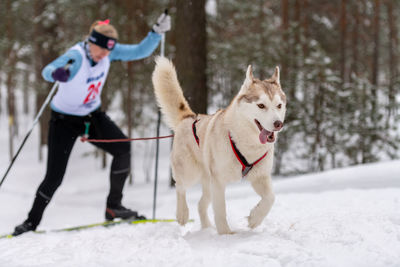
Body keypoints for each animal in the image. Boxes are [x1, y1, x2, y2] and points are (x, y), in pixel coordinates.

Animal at [152, 57, 286, 234]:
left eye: (279, 105)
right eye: (261, 105)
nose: (278, 124)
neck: (245, 142)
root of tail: (189, 118)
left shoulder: (260, 177)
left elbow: (270, 198)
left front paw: (254, 219)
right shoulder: (219, 181)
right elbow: (221, 210)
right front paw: (226, 234)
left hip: (208, 183)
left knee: (201, 204)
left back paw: (207, 228)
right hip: (190, 173)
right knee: (180, 187)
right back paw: (182, 214)